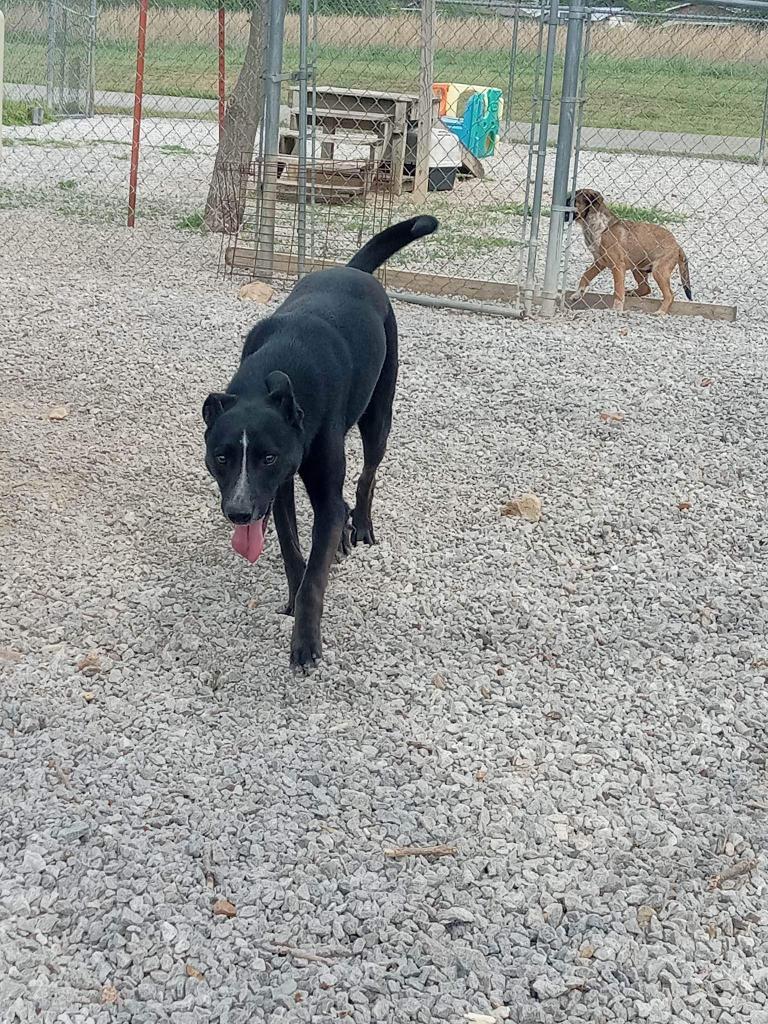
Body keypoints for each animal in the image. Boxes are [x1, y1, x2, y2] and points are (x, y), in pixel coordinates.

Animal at [201, 214, 438, 671]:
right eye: (221, 457)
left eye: (268, 456)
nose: (238, 513)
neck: (273, 376)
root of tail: (352, 269)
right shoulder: (278, 492)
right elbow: (294, 553)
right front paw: (294, 601)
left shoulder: (312, 490)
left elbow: (316, 571)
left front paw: (306, 643)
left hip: (378, 417)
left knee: (366, 477)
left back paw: (360, 525)